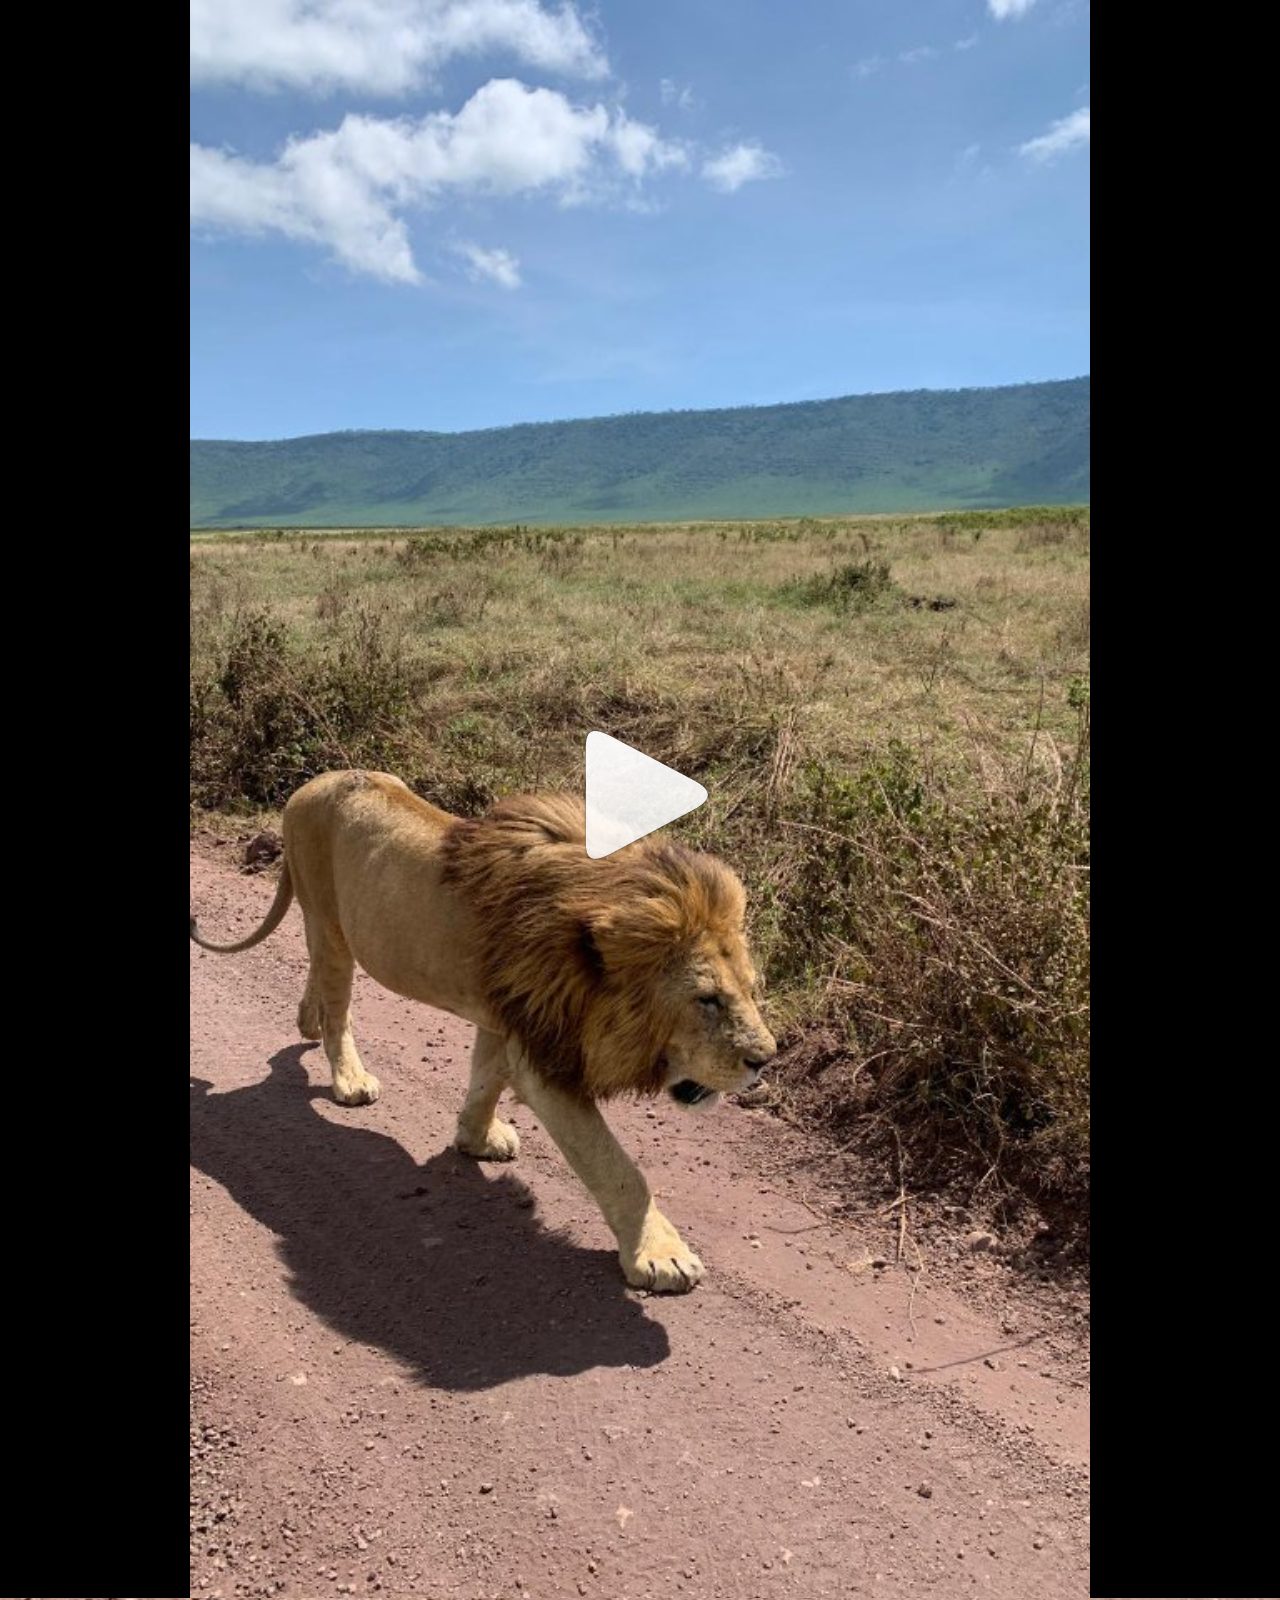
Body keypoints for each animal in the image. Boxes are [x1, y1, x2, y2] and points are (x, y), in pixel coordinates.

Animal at [190, 769, 777, 1293]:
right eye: (707, 1000)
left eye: (752, 990)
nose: (765, 1059)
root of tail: (308, 786)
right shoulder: (545, 1055)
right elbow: (617, 1167)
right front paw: (660, 1256)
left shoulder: (511, 1017)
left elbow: (485, 1079)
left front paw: (475, 1140)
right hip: (331, 924)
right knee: (338, 1008)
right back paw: (348, 1078)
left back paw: (305, 1020)